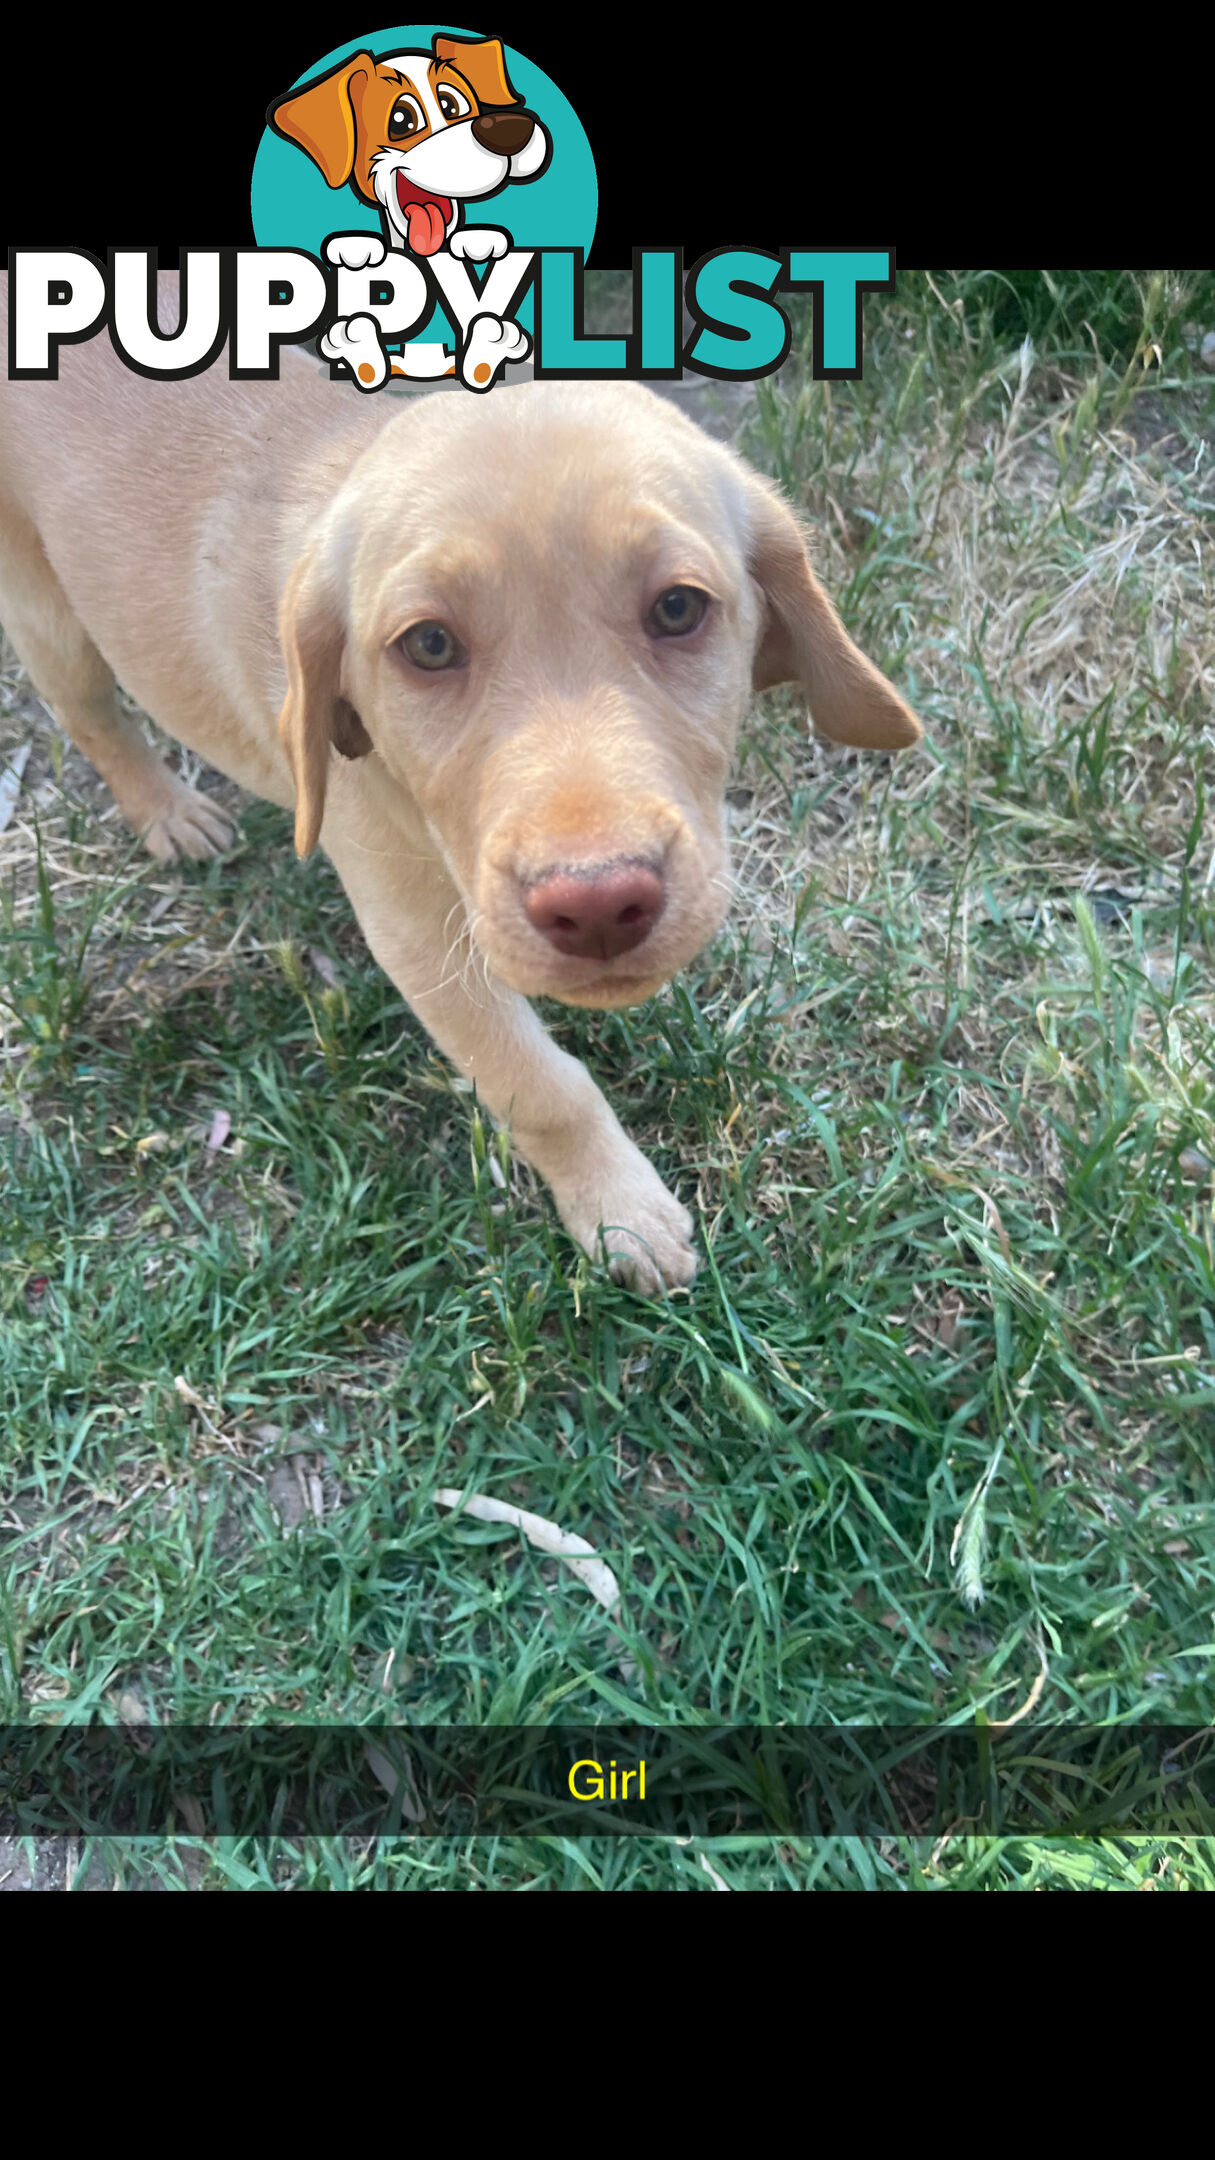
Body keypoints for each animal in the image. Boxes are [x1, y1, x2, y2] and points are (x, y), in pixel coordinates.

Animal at [0, 270, 912, 1278]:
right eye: (428, 646)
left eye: (679, 608)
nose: (599, 904)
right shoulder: (420, 936)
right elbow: (540, 1086)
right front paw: (619, 1209)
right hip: (44, 608)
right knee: (91, 715)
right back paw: (168, 811)